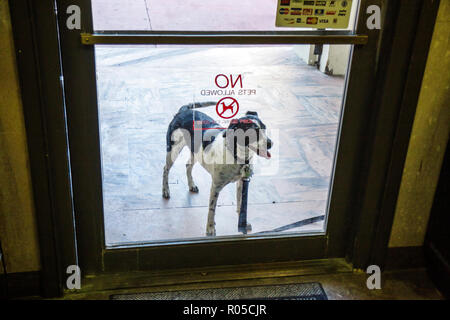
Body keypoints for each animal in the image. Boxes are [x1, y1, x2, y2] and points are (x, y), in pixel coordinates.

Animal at [163, 101, 272, 236]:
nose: (270, 143)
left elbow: (241, 203)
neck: (236, 154)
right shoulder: (215, 186)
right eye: (253, 132)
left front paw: (242, 222)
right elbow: (211, 209)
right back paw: (165, 190)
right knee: (165, 169)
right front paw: (210, 228)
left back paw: (191, 185)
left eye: (264, 128)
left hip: (196, 151)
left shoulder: (242, 182)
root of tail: (184, 110)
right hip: (173, 150)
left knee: (188, 165)